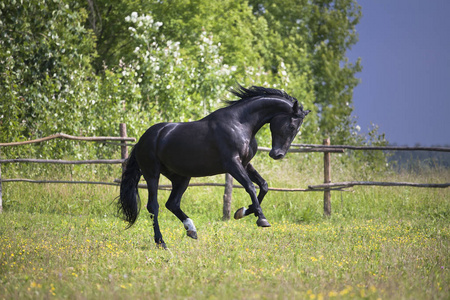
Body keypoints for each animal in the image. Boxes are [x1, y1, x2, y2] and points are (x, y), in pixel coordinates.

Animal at [117, 85, 310, 248]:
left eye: (297, 129)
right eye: (291, 125)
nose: (277, 154)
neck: (240, 124)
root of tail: (143, 139)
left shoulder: (245, 164)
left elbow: (263, 185)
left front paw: (242, 212)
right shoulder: (232, 164)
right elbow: (250, 187)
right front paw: (261, 219)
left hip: (181, 177)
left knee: (172, 203)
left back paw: (191, 230)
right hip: (152, 174)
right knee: (153, 206)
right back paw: (161, 242)